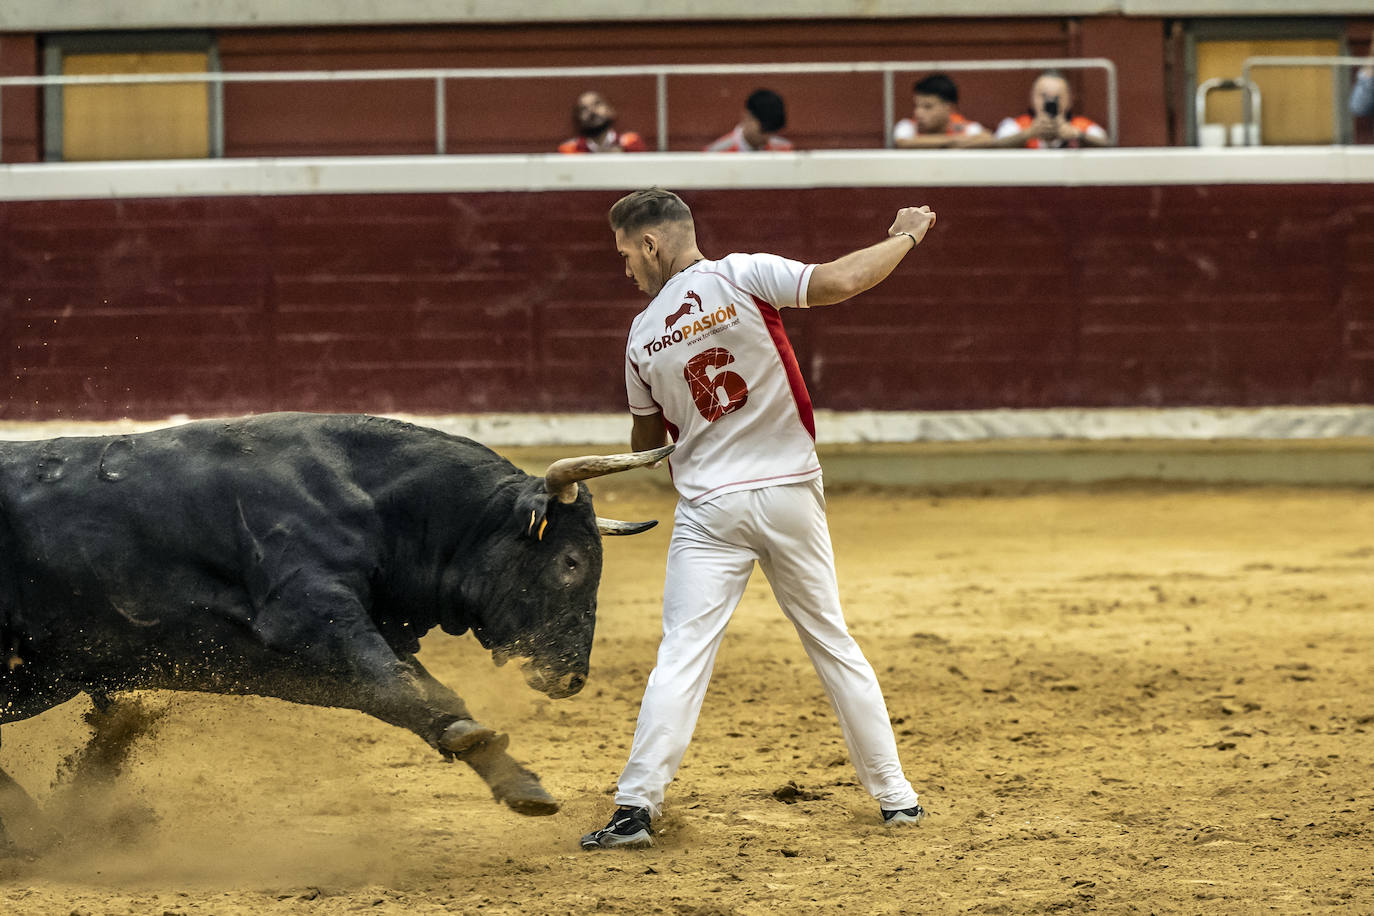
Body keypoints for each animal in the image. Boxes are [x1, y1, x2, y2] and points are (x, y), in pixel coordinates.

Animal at [0, 411, 670, 840]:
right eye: (571, 562)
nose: (572, 678)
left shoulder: (327, 645)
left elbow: (421, 689)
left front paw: (520, 785)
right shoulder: (307, 613)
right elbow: (396, 683)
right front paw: (477, 743)